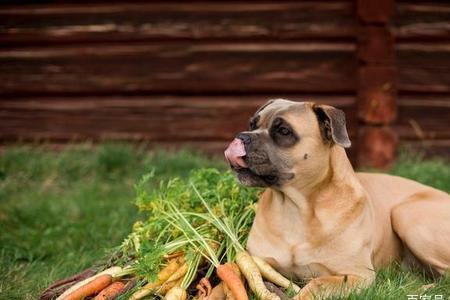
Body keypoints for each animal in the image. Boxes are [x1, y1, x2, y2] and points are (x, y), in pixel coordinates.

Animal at [225, 99, 450, 298]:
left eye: (284, 131)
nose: (242, 137)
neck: (296, 208)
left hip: (407, 215)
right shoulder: (258, 262)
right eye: (252, 124)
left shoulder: (357, 276)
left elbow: (317, 284)